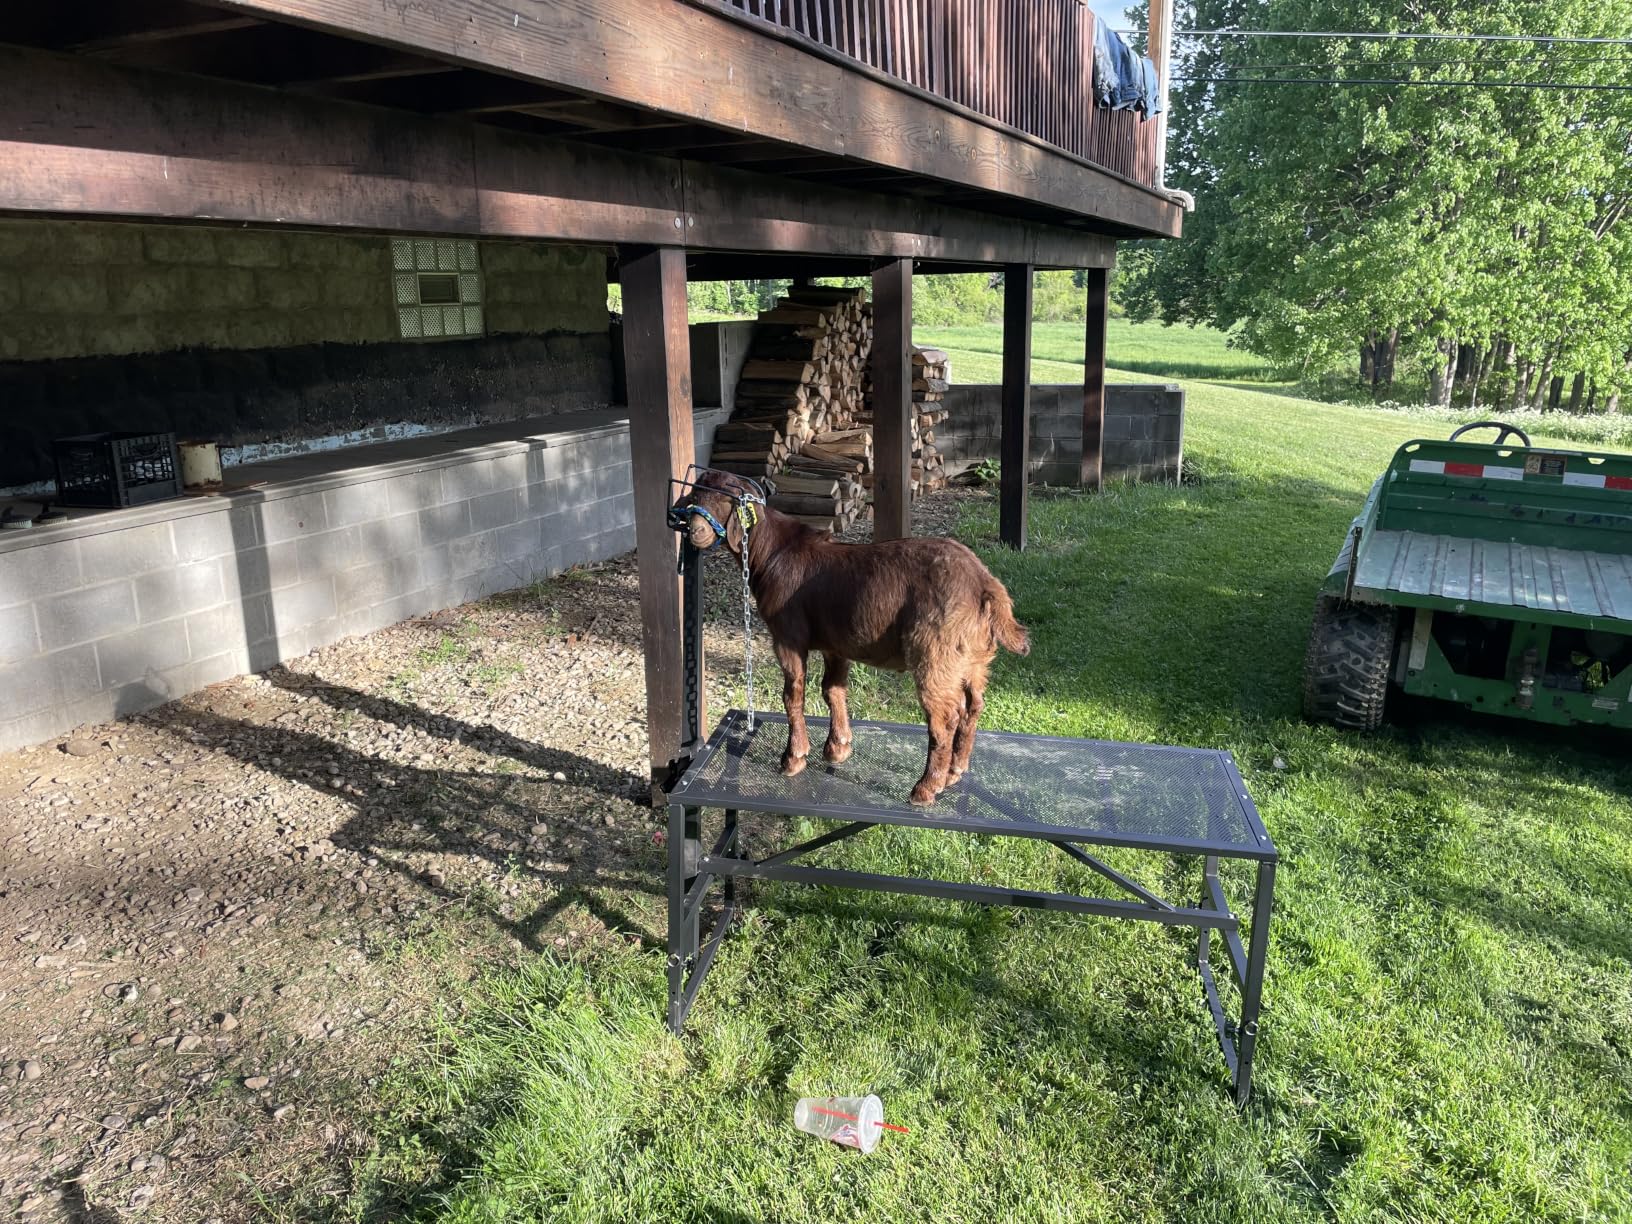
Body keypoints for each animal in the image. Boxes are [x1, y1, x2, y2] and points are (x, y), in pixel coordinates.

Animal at [672, 469, 1029, 805]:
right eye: (695, 496)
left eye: (725, 500)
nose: (696, 531)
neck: (771, 551)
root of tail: (985, 585)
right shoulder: (835, 642)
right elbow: (833, 690)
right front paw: (837, 748)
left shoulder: (788, 636)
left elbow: (793, 694)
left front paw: (793, 758)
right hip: (973, 657)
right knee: (974, 705)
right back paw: (955, 770)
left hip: (937, 653)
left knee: (945, 717)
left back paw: (927, 787)